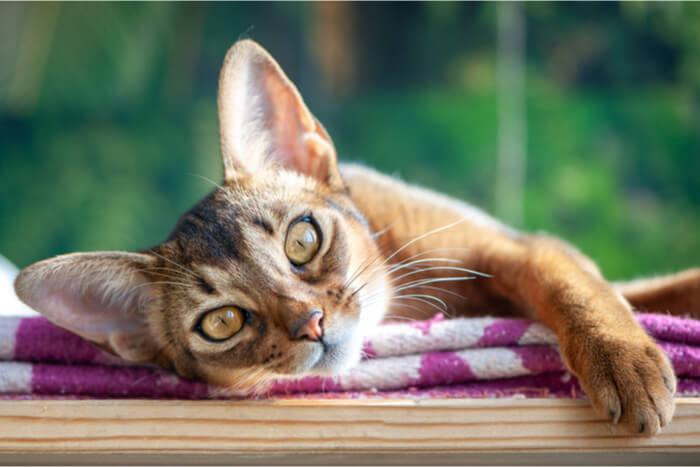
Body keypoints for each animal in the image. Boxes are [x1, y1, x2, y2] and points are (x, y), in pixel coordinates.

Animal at [13, 38, 696, 436]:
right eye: (222, 322)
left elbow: (583, 289)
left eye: (302, 240)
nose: (310, 323)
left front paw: (624, 360)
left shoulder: (521, 246)